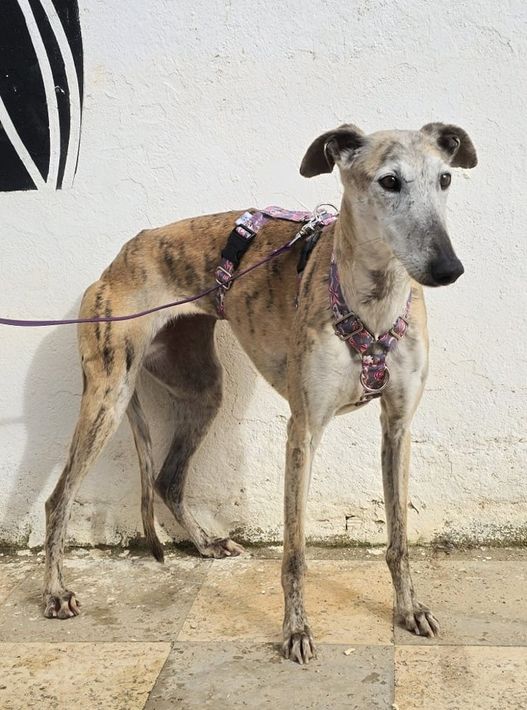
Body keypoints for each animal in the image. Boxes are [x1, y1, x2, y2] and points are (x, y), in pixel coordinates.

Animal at [43, 122, 477, 664]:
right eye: (390, 182)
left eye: (445, 179)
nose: (449, 268)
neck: (374, 302)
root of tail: (120, 258)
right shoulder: (304, 429)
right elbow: (295, 552)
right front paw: (296, 630)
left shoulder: (397, 427)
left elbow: (399, 537)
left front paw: (410, 609)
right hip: (109, 393)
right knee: (59, 498)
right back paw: (55, 591)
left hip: (203, 389)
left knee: (167, 478)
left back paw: (206, 544)